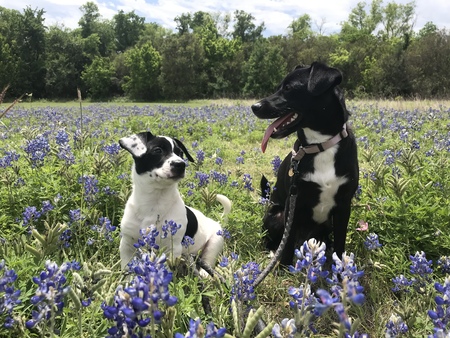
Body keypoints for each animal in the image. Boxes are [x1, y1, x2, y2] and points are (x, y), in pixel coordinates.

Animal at [118, 131, 230, 276]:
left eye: (180, 153)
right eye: (158, 150)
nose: (181, 164)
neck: (154, 200)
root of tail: (216, 222)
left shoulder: (172, 248)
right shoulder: (126, 243)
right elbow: (127, 268)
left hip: (215, 243)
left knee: (208, 260)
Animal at [251, 61, 360, 266]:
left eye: (288, 88)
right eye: (279, 87)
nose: (254, 106)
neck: (320, 145)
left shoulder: (343, 205)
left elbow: (340, 243)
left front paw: (340, 269)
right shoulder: (294, 202)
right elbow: (286, 246)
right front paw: (284, 268)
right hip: (276, 214)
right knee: (276, 240)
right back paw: (272, 252)